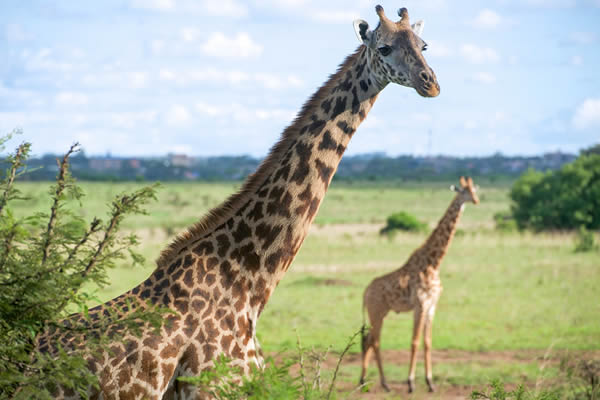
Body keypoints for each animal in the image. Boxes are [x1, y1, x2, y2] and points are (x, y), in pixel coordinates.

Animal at [358, 177, 480, 392]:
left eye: (474, 189)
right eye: (464, 191)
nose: (476, 200)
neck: (433, 263)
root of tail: (365, 293)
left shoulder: (431, 306)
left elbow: (428, 342)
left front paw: (430, 383)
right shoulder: (420, 305)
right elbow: (415, 341)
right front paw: (411, 382)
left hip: (380, 313)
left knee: (368, 340)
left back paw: (364, 380)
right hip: (377, 312)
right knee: (376, 341)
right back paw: (384, 383)